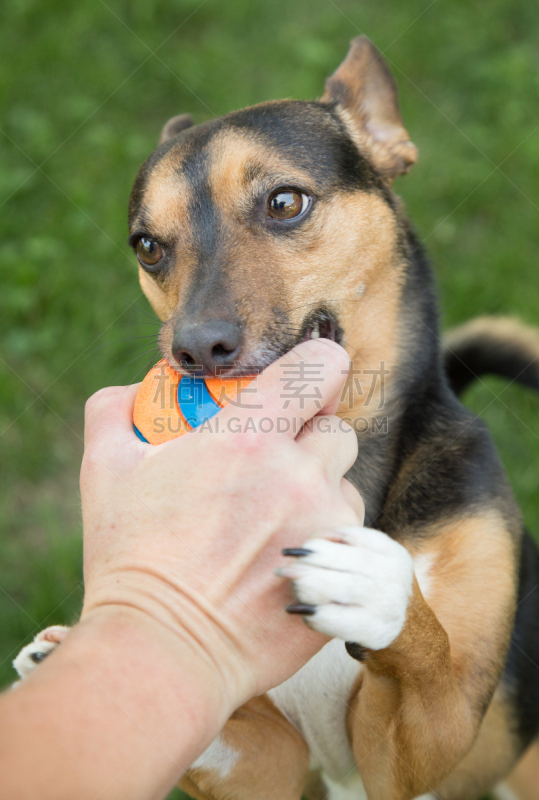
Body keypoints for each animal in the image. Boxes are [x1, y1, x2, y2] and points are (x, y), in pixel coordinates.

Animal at [13, 37, 539, 800]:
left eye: (285, 202)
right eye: (147, 246)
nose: (195, 349)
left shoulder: (426, 747)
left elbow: (431, 664)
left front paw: (381, 590)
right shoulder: (267, 765)